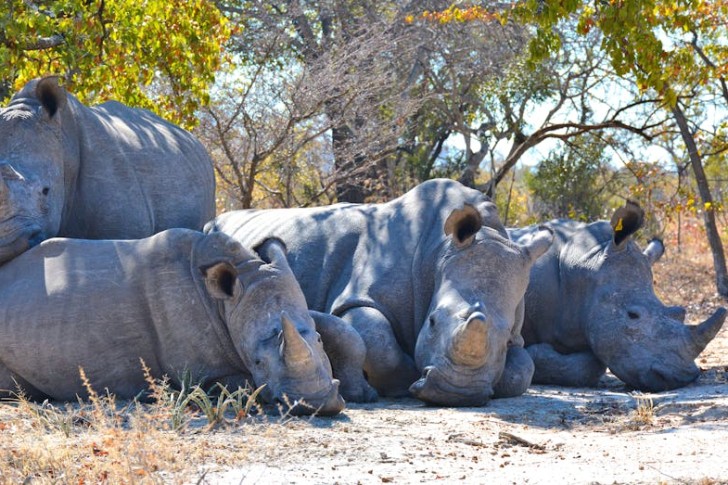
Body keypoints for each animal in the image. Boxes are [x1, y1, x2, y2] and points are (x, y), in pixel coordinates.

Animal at [0, 229, 344, 416]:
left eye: (319, 341)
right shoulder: (201, 374)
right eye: (258, 361)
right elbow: (243, 384)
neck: (225, 304)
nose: (317, 404)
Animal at [206, 179, 553, 406]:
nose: (457, 394)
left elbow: (523, 370)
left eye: (505, 339)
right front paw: (399, 384)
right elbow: (377, 341)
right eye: (432, 322)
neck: (441, 251)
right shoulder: (358, 295)